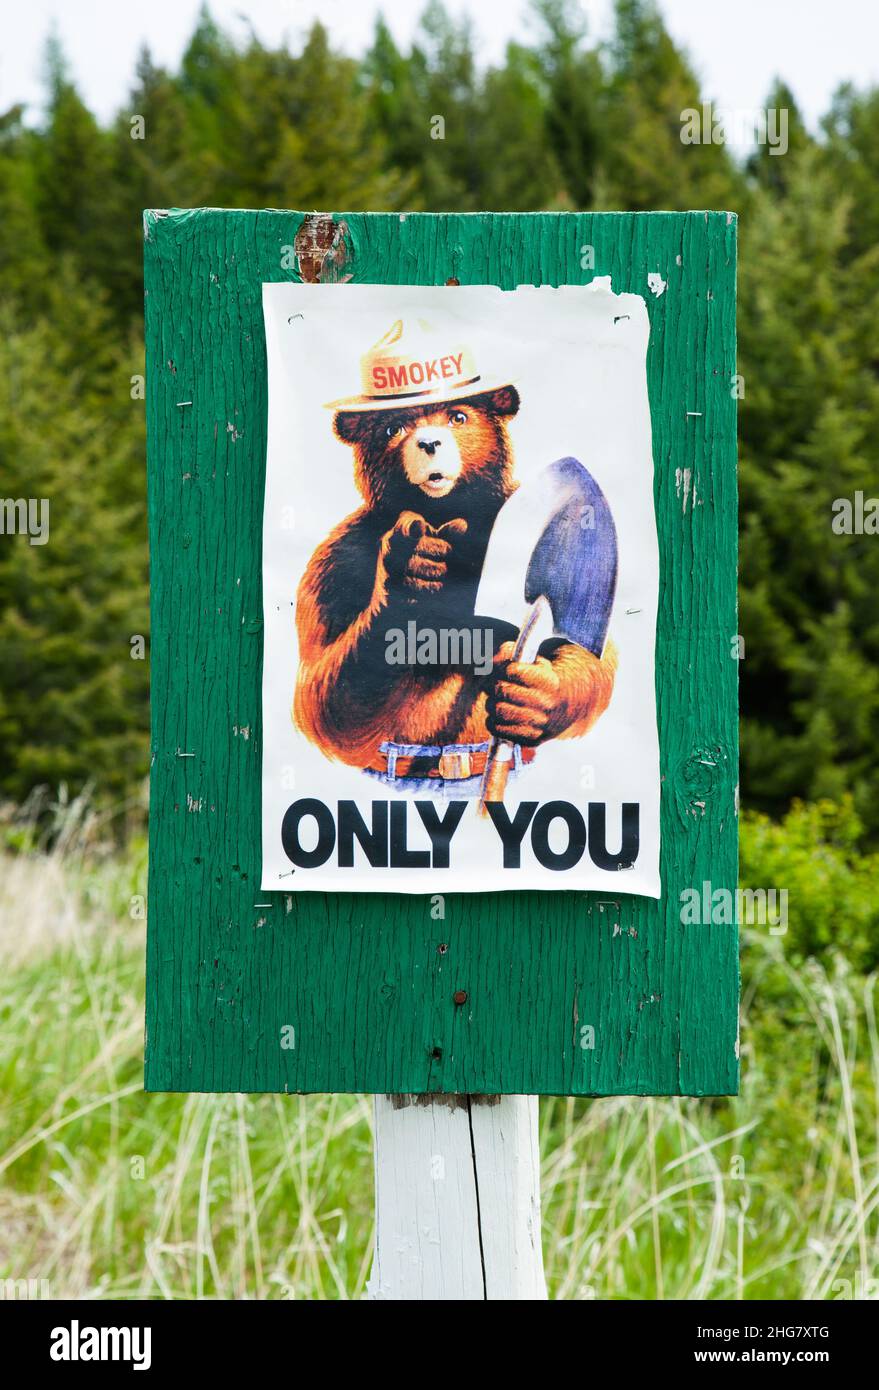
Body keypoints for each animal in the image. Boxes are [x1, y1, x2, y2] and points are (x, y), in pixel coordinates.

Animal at [293, 377, 617, 789]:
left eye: (458, 417)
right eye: (393, 428)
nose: (429, 442)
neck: (442, 515)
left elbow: (594, 661)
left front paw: (532, 697)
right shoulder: (333, 565)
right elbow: (321, 701)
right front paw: (409, 569)